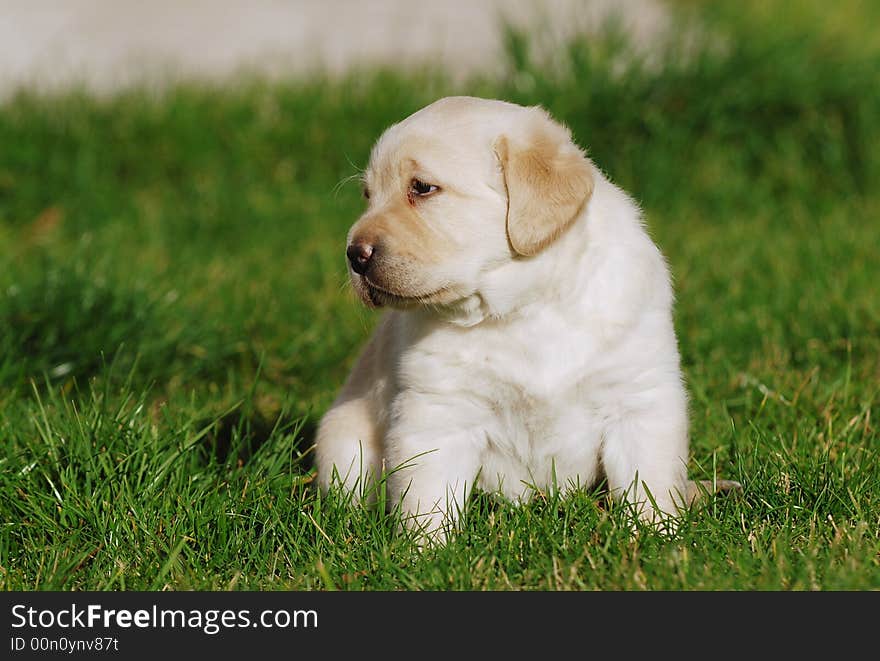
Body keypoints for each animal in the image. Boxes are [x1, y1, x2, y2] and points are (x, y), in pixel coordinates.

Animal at [316, 95, 736, 540]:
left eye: (423, 188)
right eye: (368, 195)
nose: (355, 255)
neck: (525, 307)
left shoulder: (638, 398)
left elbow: (649, 485)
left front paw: (658, 539)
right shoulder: (438, 411)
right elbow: (427, 499)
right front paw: (424, 550)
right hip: (342, 443)